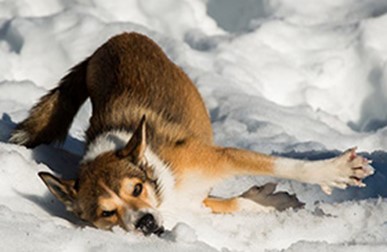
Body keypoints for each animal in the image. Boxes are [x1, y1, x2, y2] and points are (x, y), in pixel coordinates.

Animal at [9, 32, 376, 236]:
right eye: (106, 212)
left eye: (136, 188)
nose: (144, 223)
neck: (162, 188)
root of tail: (108, 43)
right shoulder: (192, 199)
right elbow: (233, 204)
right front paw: (269, 204)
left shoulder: (219, 157)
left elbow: (289, 166)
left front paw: (336, 171)